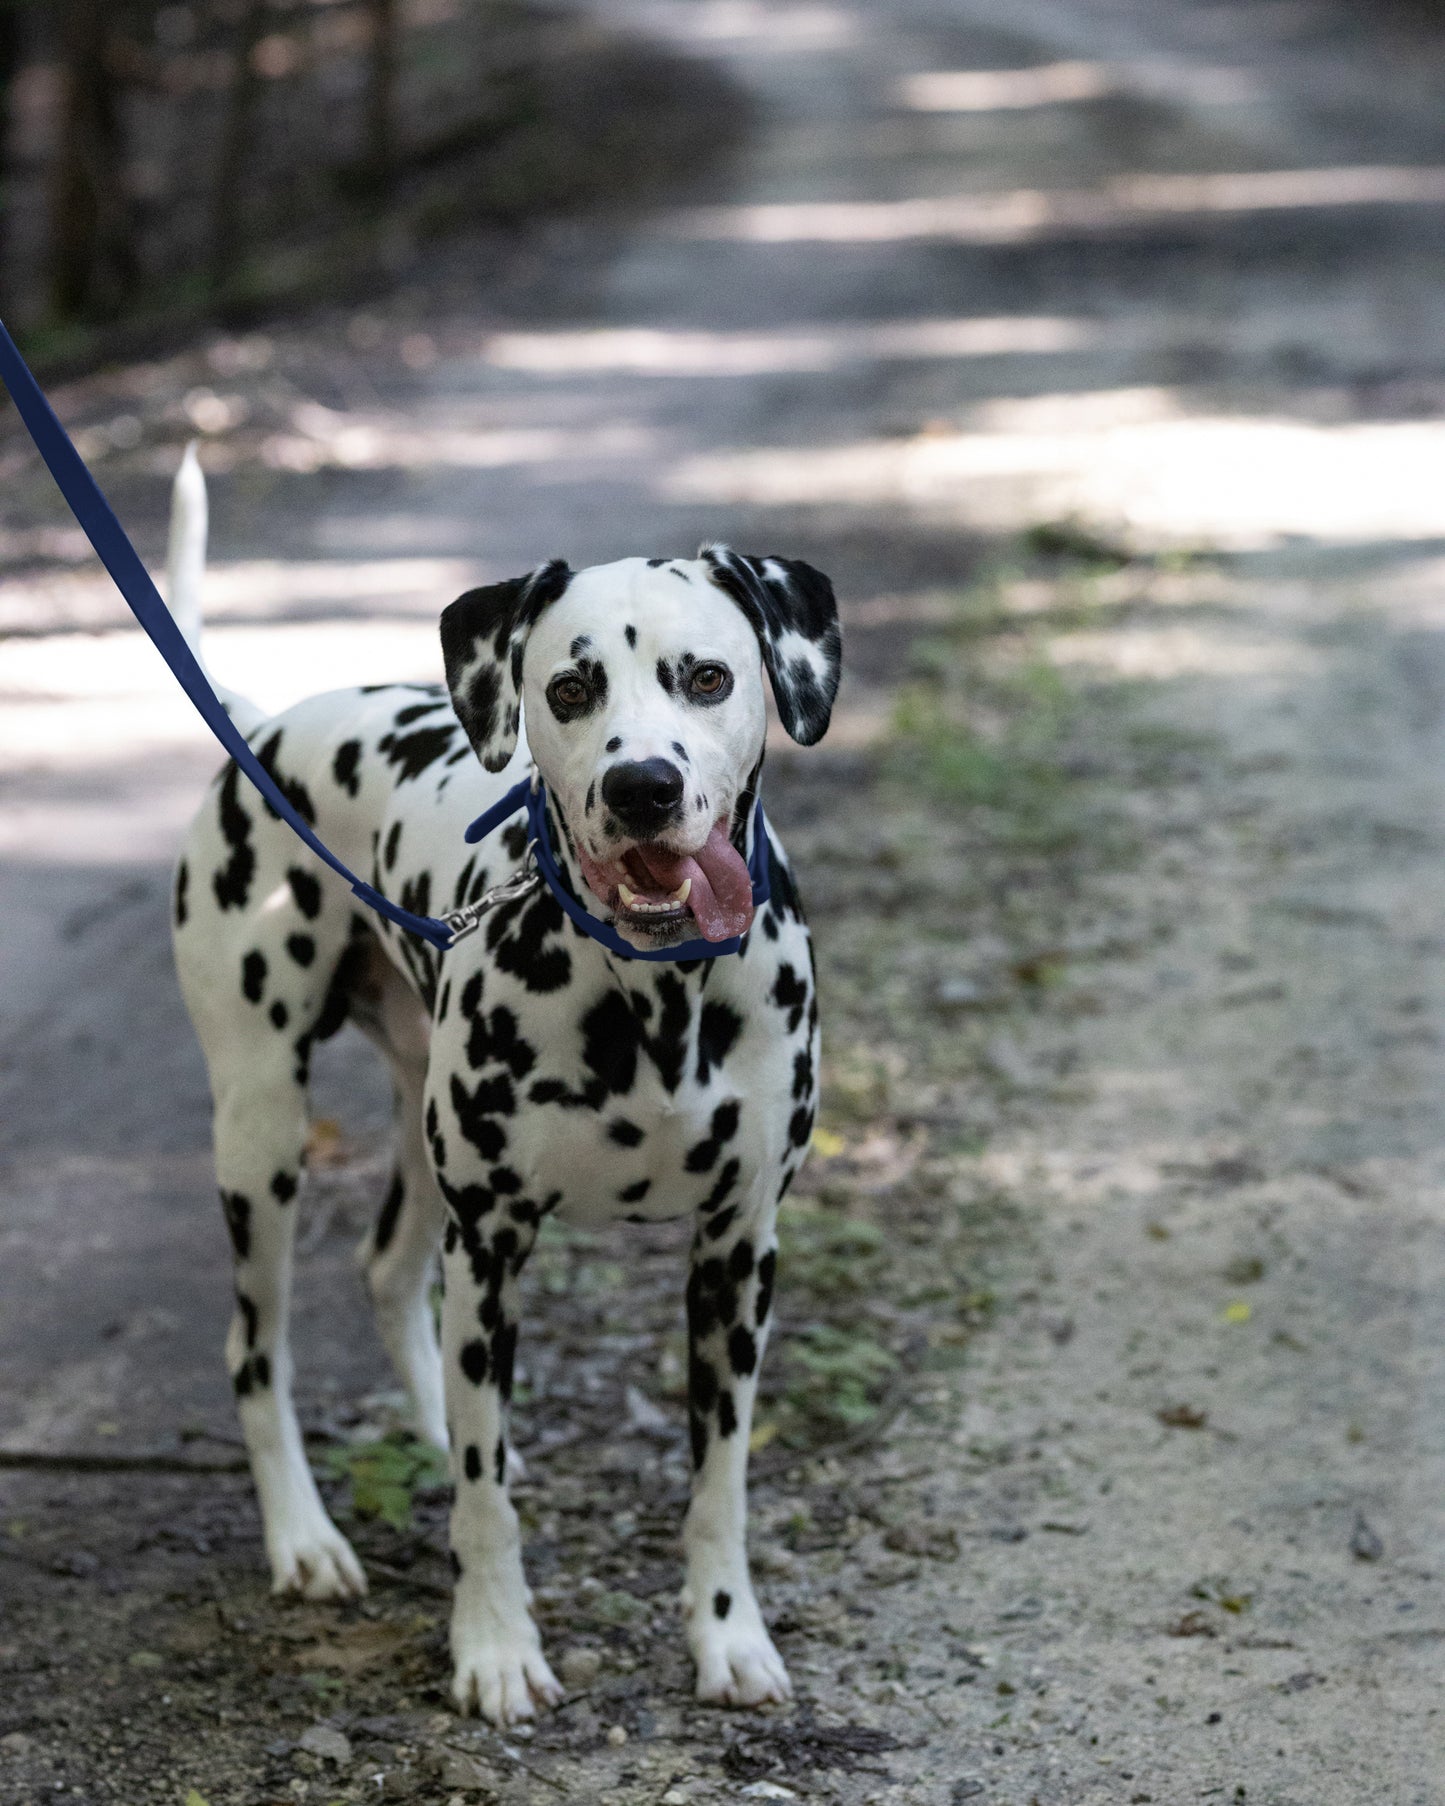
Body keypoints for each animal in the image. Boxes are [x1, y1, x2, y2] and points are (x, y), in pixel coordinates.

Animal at [167, 451, 841, 1719]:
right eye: (569, 688)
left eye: (709, 676)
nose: (641, 788)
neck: (651, 991)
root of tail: (266, 724)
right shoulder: (491, 1248)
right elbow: (485, 1506)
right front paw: (490, 1646)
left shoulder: (739, 1254)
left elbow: (718, 1483)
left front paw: (727, 1635)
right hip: (261, 1135)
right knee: (253, 1350)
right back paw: (304, 1539)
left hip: (414, 1130)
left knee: (386, 1274)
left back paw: (430, 1431)